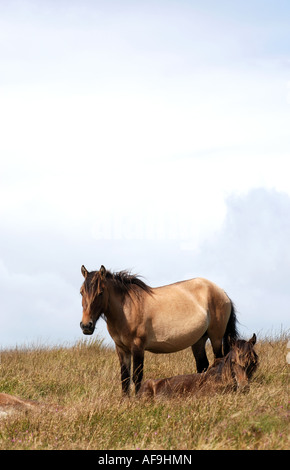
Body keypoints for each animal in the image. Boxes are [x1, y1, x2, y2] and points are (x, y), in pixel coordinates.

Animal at [79, 266, 238, 394]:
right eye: (81, 292)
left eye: (100, 292)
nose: (86, 326)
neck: (127, 309)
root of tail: (222, 292)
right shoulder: (122, 349)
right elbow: (125, 378)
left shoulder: (138, 347)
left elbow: (137, 376)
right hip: (198, 340)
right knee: (202, 366)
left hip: (216, 338)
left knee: (218, 362)